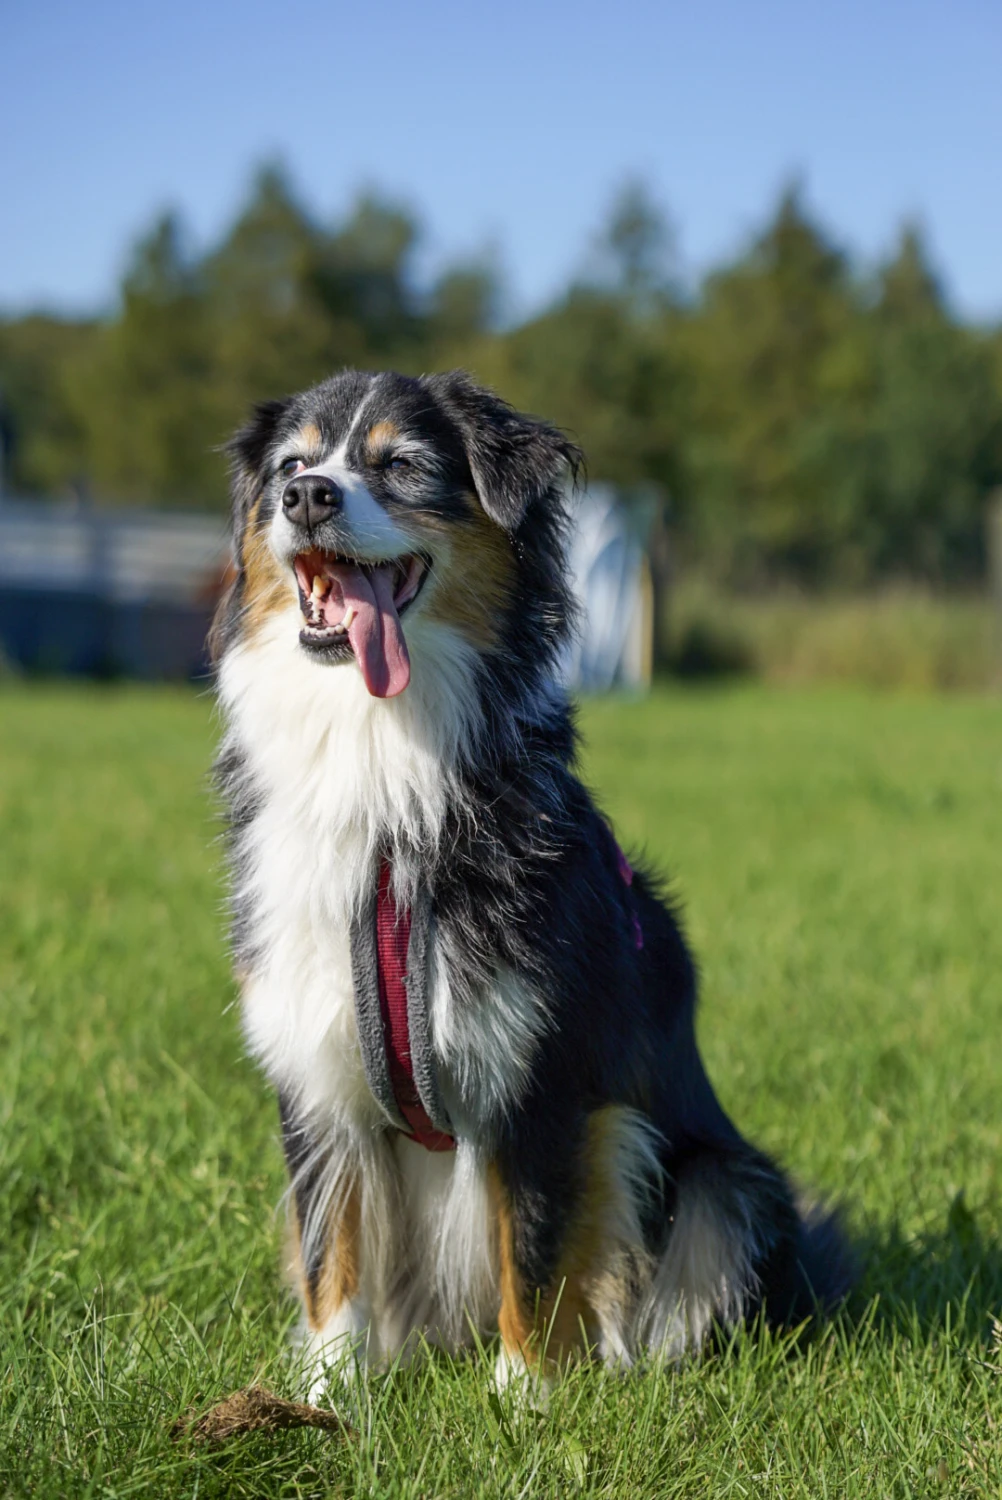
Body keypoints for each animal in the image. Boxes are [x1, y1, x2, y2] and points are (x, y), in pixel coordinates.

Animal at [210, 369, 846, 1398]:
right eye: (290, 468)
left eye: (401, 465)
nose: (308, 498)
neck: (383, 766)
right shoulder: (317, 1067)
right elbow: (329, 1245)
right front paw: (328, 1395)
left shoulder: (543, 1072)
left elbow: (535, 1247)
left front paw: (526, 1397)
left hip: (729, 1182)